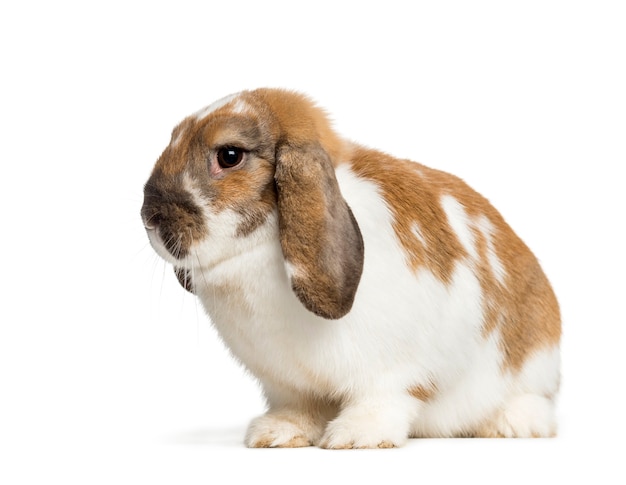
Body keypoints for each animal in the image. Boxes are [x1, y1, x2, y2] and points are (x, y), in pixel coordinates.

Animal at [141, 89, 560, 448]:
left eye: (229, 155)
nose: (149, 216)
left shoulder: (396, 370)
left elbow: (385, 398)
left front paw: (357, 435)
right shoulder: (289, 385)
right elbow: (300, 407)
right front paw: (277, 432)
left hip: (531, 365)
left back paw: (509, 424)